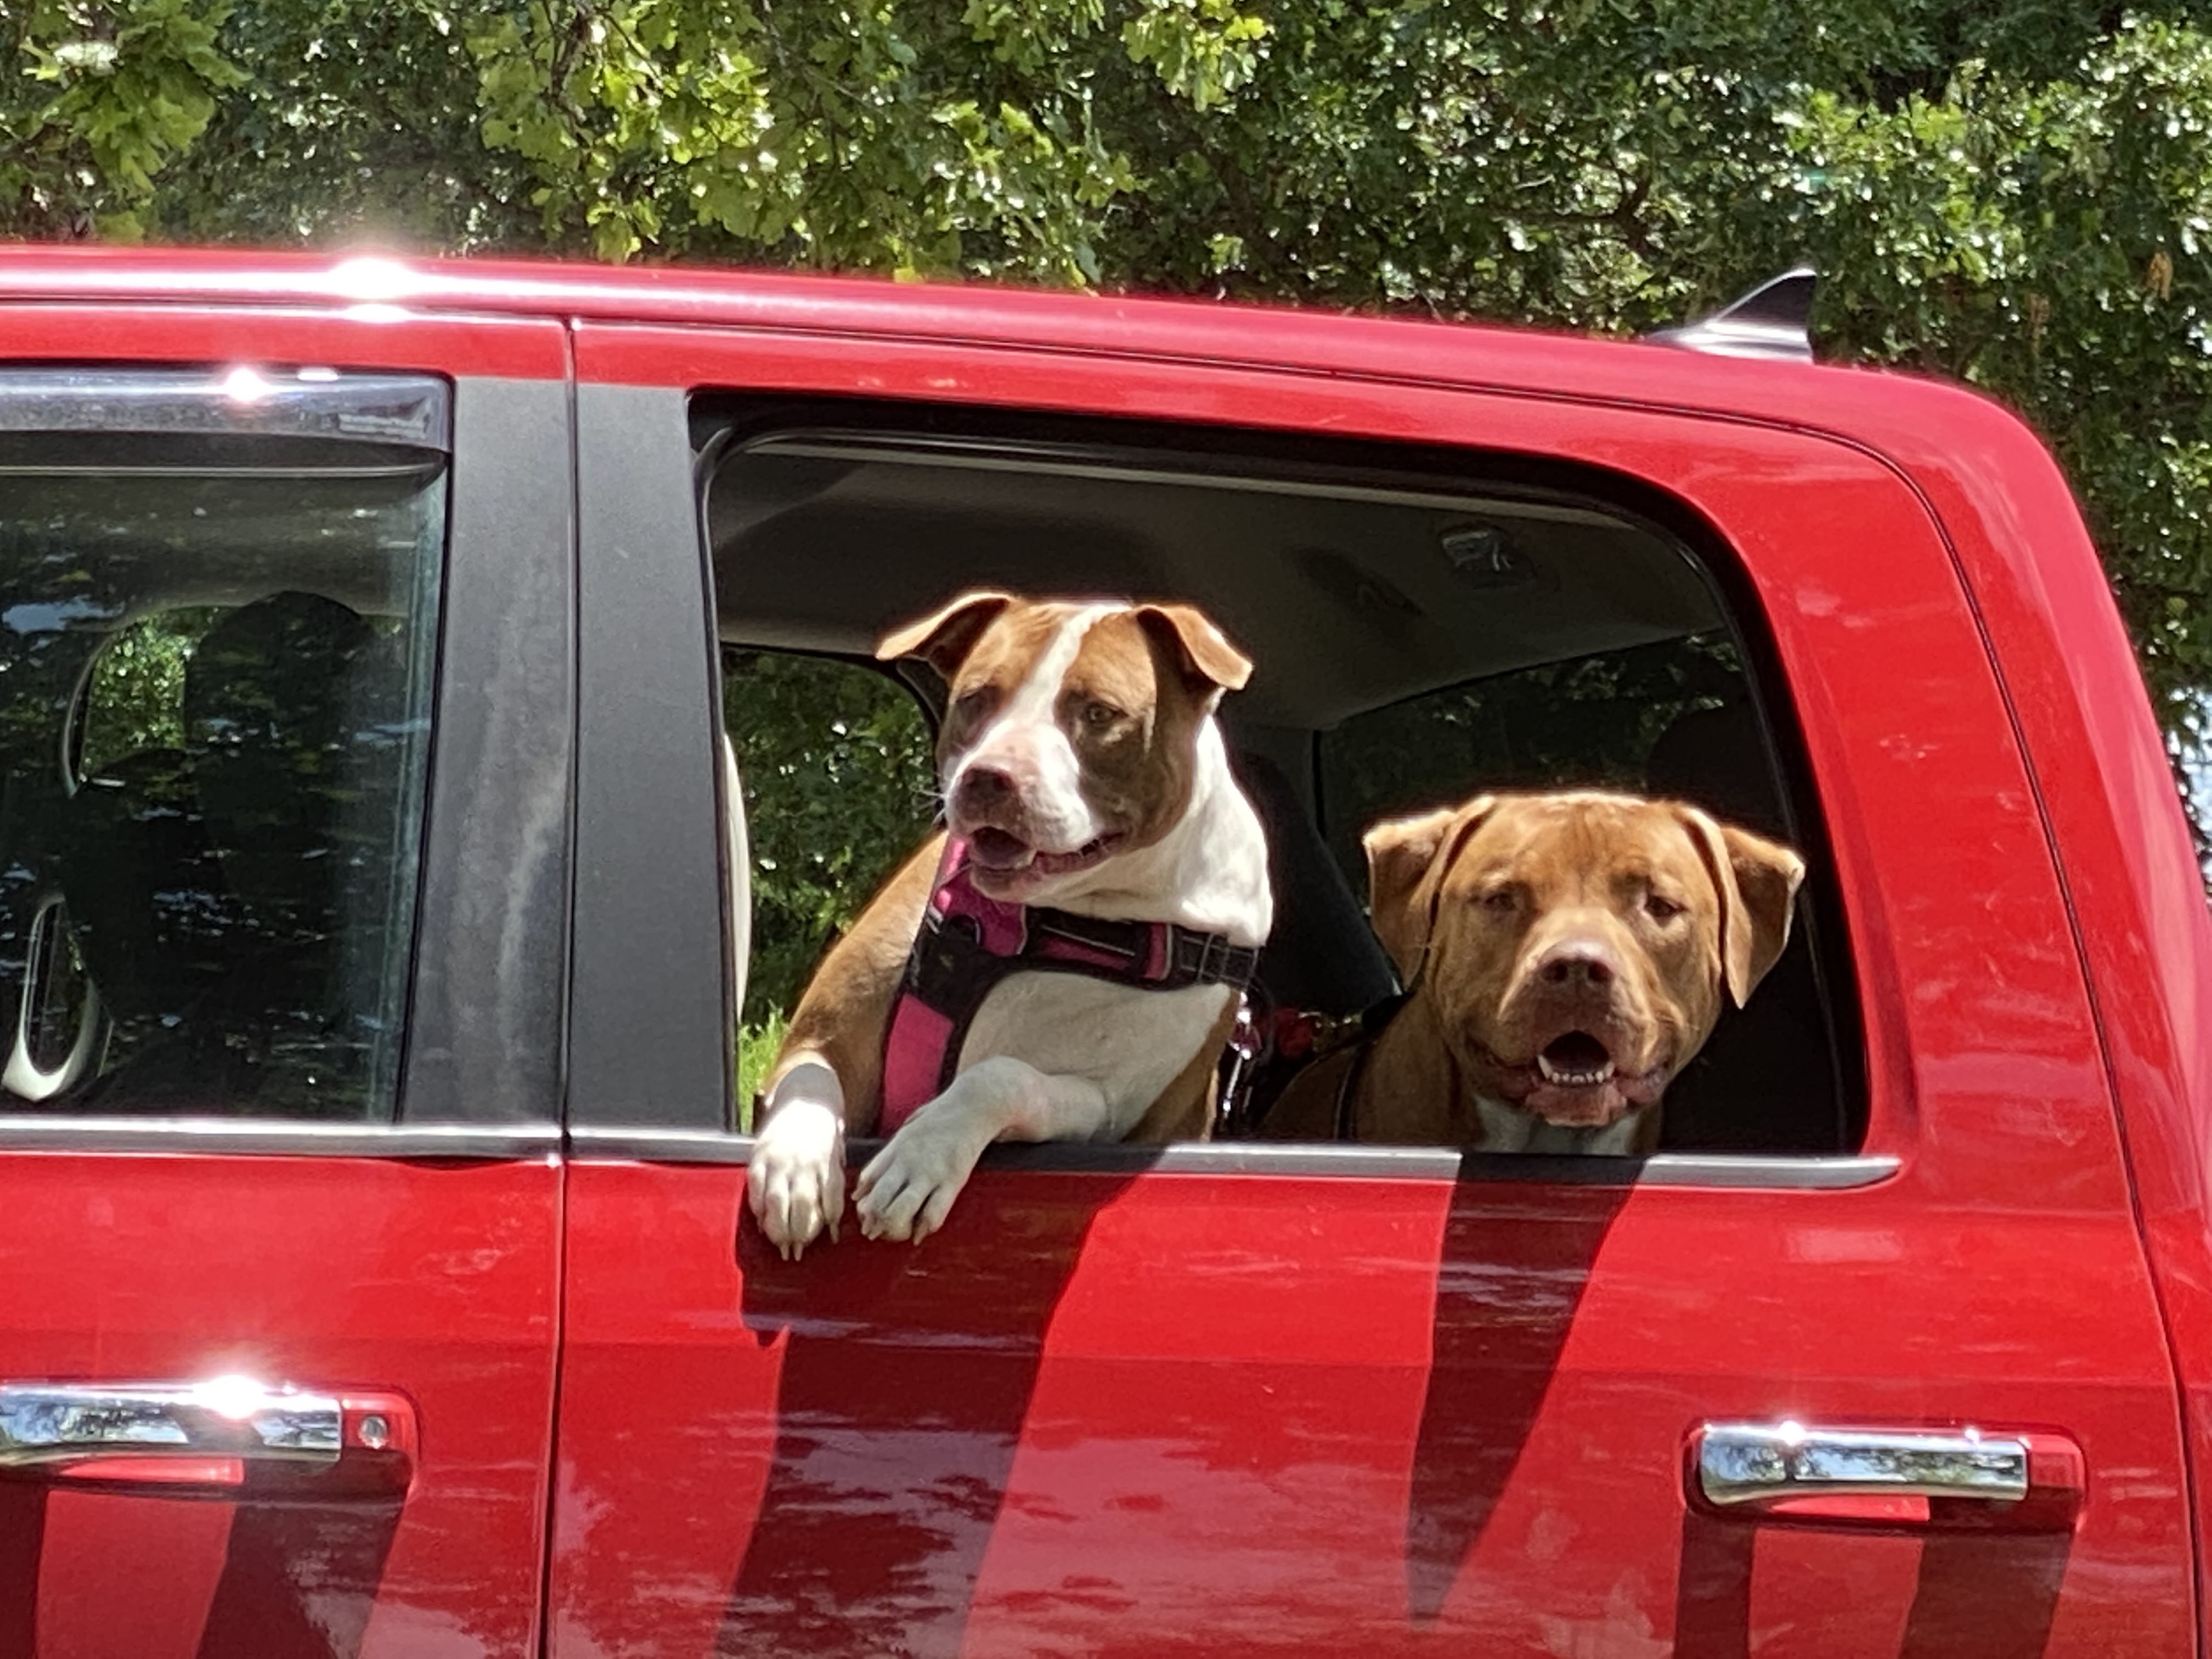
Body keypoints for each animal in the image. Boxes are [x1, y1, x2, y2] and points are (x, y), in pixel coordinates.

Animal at [747, 597, 1274, 1256]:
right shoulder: (827, 1035)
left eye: (1099, 713)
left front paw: (923, 1156)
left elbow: (1002, 1076)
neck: (1048, 920)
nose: (990, 776)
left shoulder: (1107, 1109)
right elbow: (807, 1082)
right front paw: (795, 1168)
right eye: (978, 698)